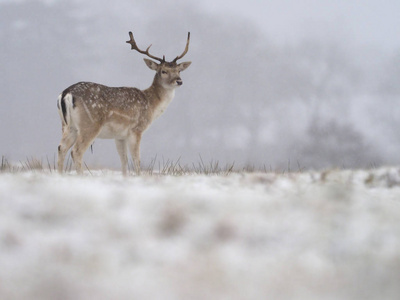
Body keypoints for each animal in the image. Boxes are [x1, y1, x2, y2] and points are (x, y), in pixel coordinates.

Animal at [56, 30, 192, 175]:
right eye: (163, 71)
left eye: (179, 70)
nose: (179, 81)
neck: (150, 104)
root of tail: (66, 94)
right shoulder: (136, 129)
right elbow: (136, 160)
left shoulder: (120, 136)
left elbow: (124, 160)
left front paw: (125, 177)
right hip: (89, 125)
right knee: (76, 151)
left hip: (68, 126)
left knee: (61, 148)